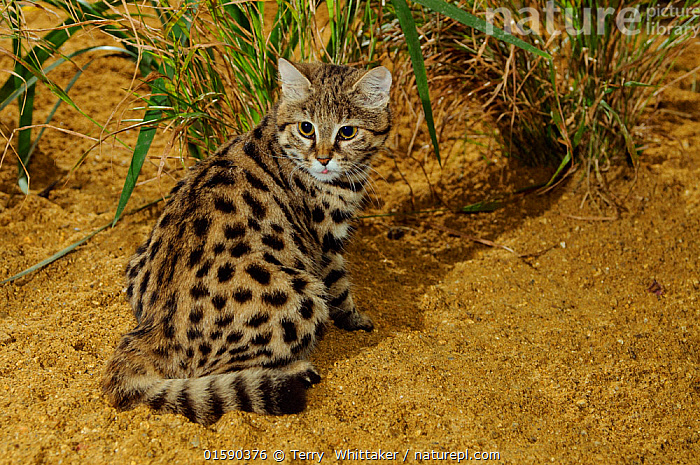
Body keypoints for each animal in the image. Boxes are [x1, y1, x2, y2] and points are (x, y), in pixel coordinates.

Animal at [101, 59, 392, 424]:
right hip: (298, 294)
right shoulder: (324, 244)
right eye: (306, 128)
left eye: (347, 132)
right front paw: (355, 320)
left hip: (137, 259)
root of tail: (151, 331)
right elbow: (340, 289)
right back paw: (294, 371)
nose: (324, 159)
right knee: (209, 372)